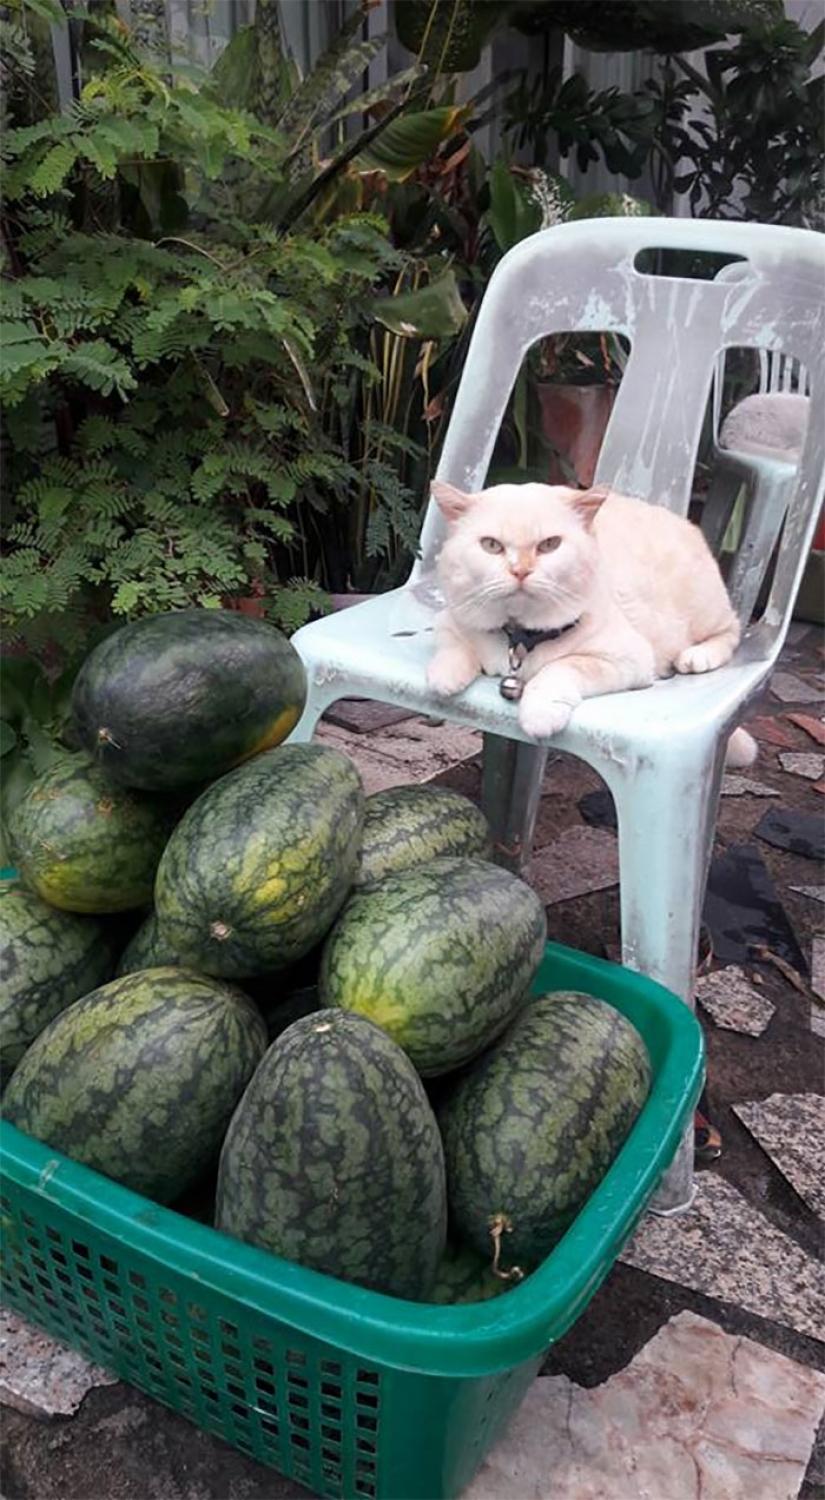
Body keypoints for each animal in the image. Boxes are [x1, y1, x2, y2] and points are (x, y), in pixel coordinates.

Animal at [429, 477, 759, 768]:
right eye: (491, 545)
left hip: (705, 610)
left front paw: (539, 715)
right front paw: (446, 676)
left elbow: (561, 668)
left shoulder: (628, 658)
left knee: (732, 630)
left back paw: (696, 657)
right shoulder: (449, 619)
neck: (522, 637)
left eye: (549, 545)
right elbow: (452, 646)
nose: (520, 571)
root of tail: (685, 523)